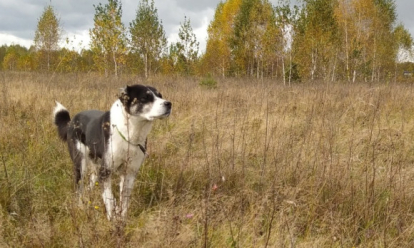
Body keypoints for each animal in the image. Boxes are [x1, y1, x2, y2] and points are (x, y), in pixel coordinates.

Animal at [53, 84, 171, 220]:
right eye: (145, 98)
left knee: (91, 182)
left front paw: (123, 219)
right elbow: (109, 199)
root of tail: (72, 121)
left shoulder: (129, 172)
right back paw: (81, 207)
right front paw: (112, 220)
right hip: (80, 163)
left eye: (160, 96)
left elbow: (124, 201)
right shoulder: (105, 172)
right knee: (79, 187)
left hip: (96, 164)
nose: (169, 104)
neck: (130, 132)